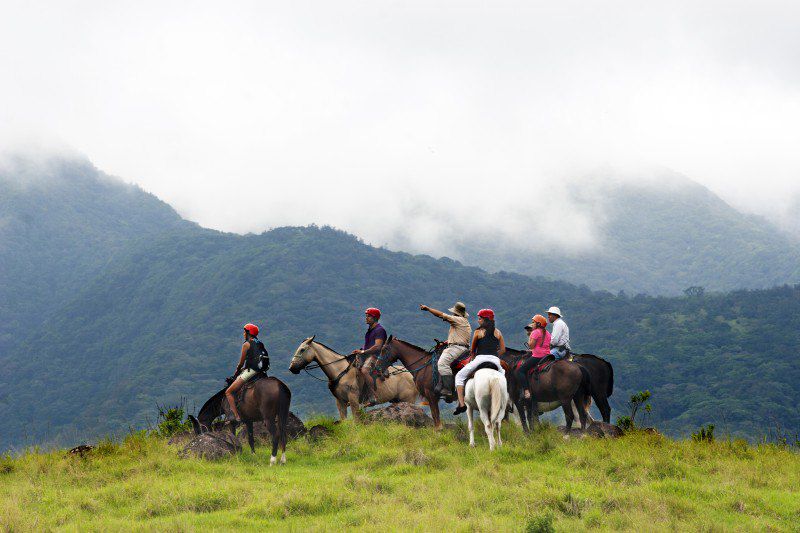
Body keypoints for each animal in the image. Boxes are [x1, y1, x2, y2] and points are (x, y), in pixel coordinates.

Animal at [288, 336, 416, 420]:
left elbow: (355, 420)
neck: (340, 371)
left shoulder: (353, 399)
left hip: (408, 399)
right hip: (397, 400)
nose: (291, 368)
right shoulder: (340, 401)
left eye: (302, 349)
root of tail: (411, 375)